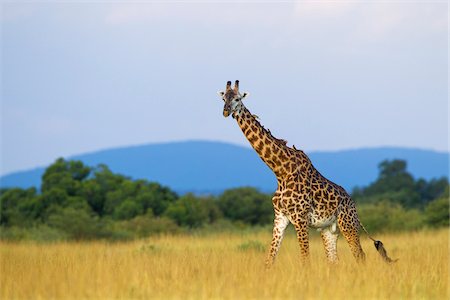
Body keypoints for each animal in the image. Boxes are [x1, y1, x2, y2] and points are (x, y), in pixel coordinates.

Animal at [218, 79, 394, 264]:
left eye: (237, 99)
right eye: (223, 99)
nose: (226, 111)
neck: (280, 171)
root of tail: (353, 204)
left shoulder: (300, 218)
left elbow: (305, 259)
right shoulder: (280, 217)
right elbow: (269, 260)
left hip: (348, 224)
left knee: (360, 255)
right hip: (328, 229)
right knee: (334, 260)